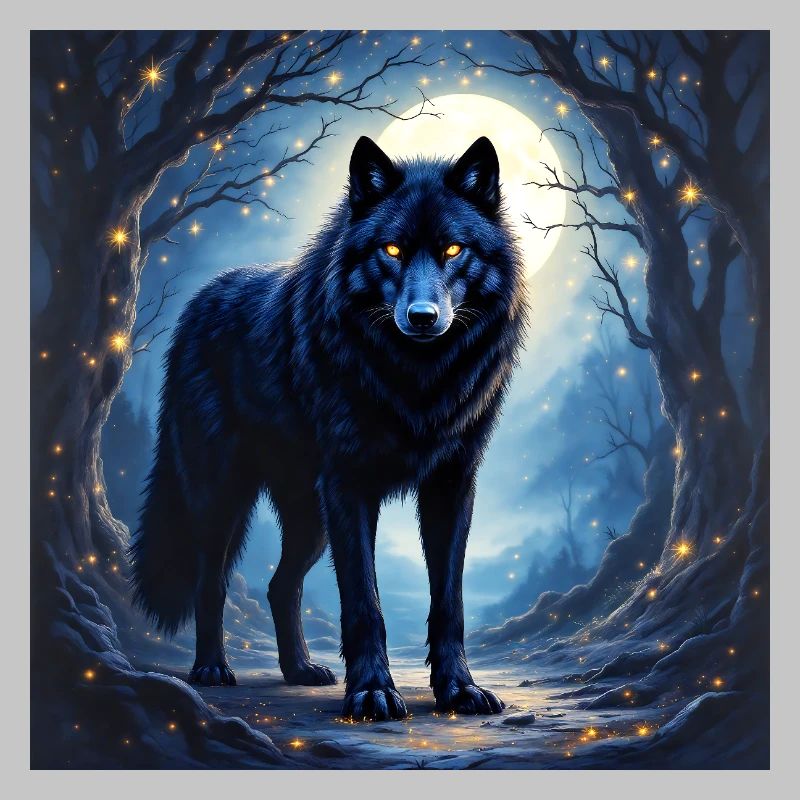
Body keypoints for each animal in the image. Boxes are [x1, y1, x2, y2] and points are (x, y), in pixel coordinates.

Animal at [130, 135, 528, 720]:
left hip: (308, 516)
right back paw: (211, 670)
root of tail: (198, 302)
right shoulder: (348, 486)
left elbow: (449, 602)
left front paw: (459, 689)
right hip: (223, 498)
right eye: (392, 250)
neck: (416, 382)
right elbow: (364, 603)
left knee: (279, 586)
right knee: (212, 582)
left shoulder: (451, 485)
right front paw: (372, 692)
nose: (423, 317)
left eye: (454, 250)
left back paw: (299, 670)